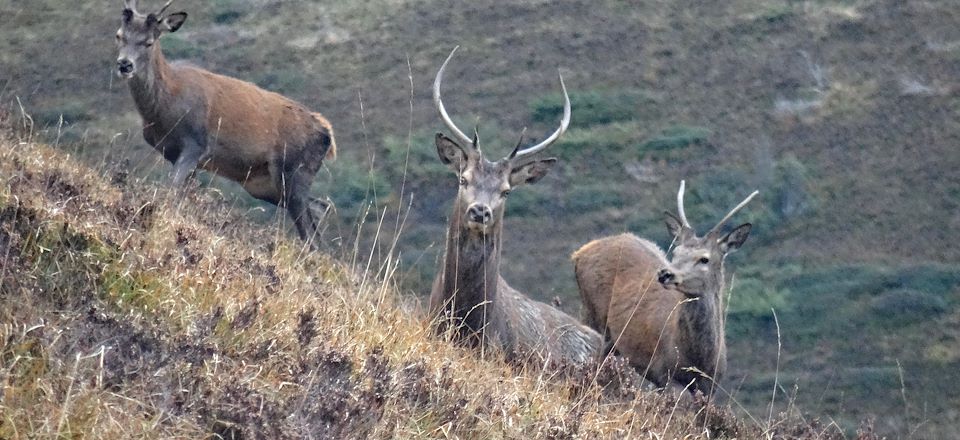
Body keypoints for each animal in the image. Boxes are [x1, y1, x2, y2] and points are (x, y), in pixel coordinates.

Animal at [115, 0, 336, 248]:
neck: (166, 108)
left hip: (294, 168)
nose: (125, 64)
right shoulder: (175, 154)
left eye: (149, 42)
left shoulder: (196, 143)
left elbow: (171, 189)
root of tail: (328, 135)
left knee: (311, 230)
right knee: (319, 207)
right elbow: (183, 194)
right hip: (263, 184)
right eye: (119, 35)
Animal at [572, 180, 757, 395]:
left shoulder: (711, 385)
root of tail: (579, 253)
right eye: (675, 252)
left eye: (704, 259)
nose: (665, 274)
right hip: (592, 313)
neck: (697, 359)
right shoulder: (664, 373)